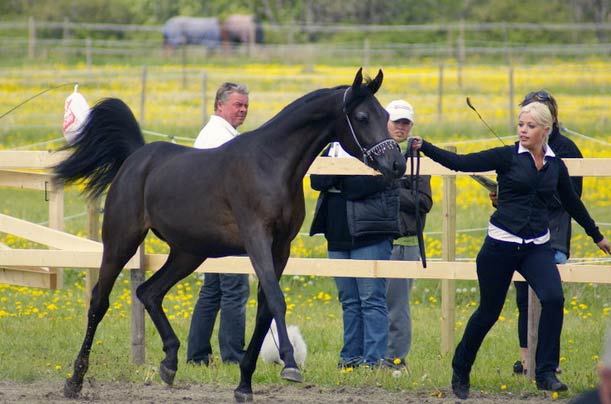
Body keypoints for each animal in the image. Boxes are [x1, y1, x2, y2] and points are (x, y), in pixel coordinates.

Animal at [56, 68, 406, 402]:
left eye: (385, 116)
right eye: (362, 116)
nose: (397, 164)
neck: (272, 164)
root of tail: (136, 158)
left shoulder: (281, 248)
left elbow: (265, 308)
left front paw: (245, 384)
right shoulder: (256, 239)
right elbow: (276, 300)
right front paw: (290, 364)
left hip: (188, 253)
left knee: (150, 292)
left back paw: (169, 363)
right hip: (121, 241)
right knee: (99, 301)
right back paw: (74, 380)